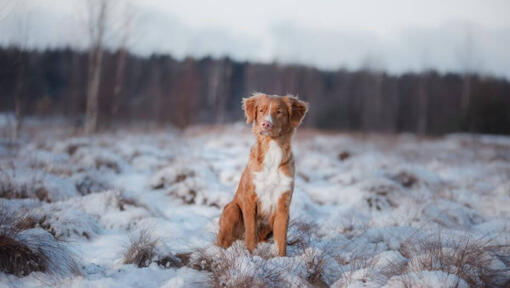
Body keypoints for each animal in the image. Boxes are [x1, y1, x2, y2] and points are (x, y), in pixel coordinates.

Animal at [215, 92, 306, 256]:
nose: (266, 124)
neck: (272, 151)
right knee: (223, 240)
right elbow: (251, 232)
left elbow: (281, 239)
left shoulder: (283, 204)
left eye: (279, 111)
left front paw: (282, 258)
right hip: (232, 209)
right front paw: (250, 255)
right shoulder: (250, 199)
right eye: (261, 110)